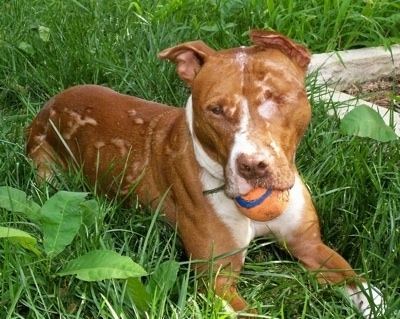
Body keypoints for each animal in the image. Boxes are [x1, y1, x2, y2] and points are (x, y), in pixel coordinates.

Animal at [25, 30, 384, 318]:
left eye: (278, 98)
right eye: (216, 110)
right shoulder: (217, 279)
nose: (253, 165)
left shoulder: (309, 244)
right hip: (46, 171)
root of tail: (49, 104)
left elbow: (363, 286)